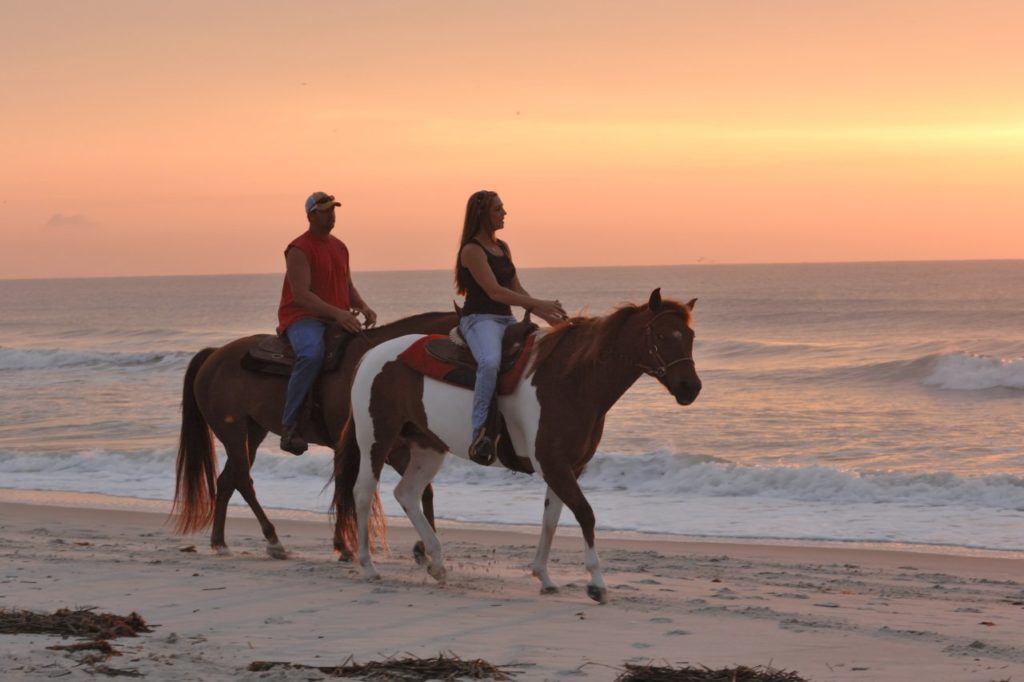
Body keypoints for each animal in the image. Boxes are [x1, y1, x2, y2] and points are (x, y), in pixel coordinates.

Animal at [171, 307, 456, 557]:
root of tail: (214, 354)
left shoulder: (392, 447)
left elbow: (423, 490)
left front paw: (424, 547)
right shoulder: (358, 446)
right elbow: (345, 488)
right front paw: (344, 546)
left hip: (252, 433)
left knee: (226, 481)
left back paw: (219, 542)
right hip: (232, 431)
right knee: (242, 480)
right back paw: (272, 540)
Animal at [331, 286, 700, 602]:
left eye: (691, 336)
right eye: (662, 335)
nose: (691, 388)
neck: (572, 380)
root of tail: (371, 355)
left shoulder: (568, 467)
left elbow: (552, 518)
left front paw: (544, 576)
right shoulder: (553, 464)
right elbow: (585, 513)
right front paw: (597, 583)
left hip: (427, 447)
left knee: (407, 493)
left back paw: (437, 563)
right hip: (376, 438)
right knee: (364, 493)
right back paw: (368, 565)